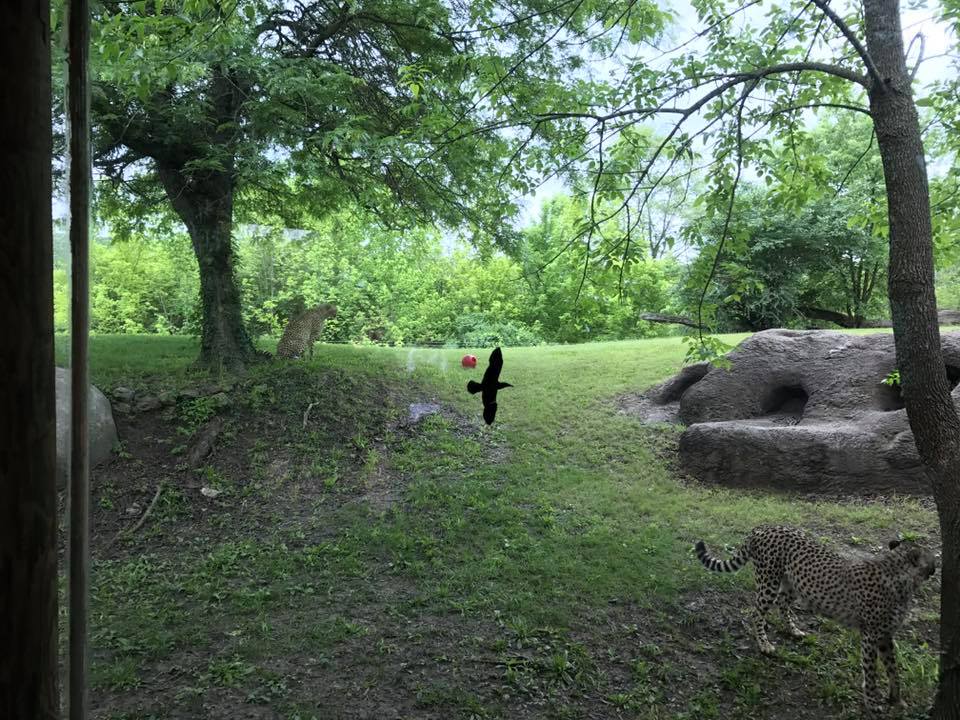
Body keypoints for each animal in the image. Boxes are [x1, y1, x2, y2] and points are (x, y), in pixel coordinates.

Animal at [695, 525, 936, 717]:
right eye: (932, 559)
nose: (935, 567)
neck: (900, 576)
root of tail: (763, 527)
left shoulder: (886, 635)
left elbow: (893, 668)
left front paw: (896, 699)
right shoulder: (870, 635)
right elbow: (871, 671)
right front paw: (873, 701)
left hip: (793, 583)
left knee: (782, 602)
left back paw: (793, 630)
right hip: (768, 582)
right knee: (757, 613)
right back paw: (764, 644)